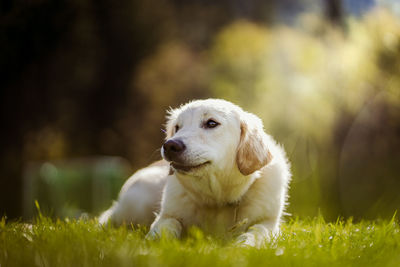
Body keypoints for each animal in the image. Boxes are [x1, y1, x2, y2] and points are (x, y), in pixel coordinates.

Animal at [98, 99, 290, 248]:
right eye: (177, 127)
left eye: (211, 123)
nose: (170, 146)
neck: (217, 199)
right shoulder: (167, 216)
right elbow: (168, 225)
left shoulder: (269, 223)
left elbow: (256, 232)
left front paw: (242, 246)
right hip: (134, 205)